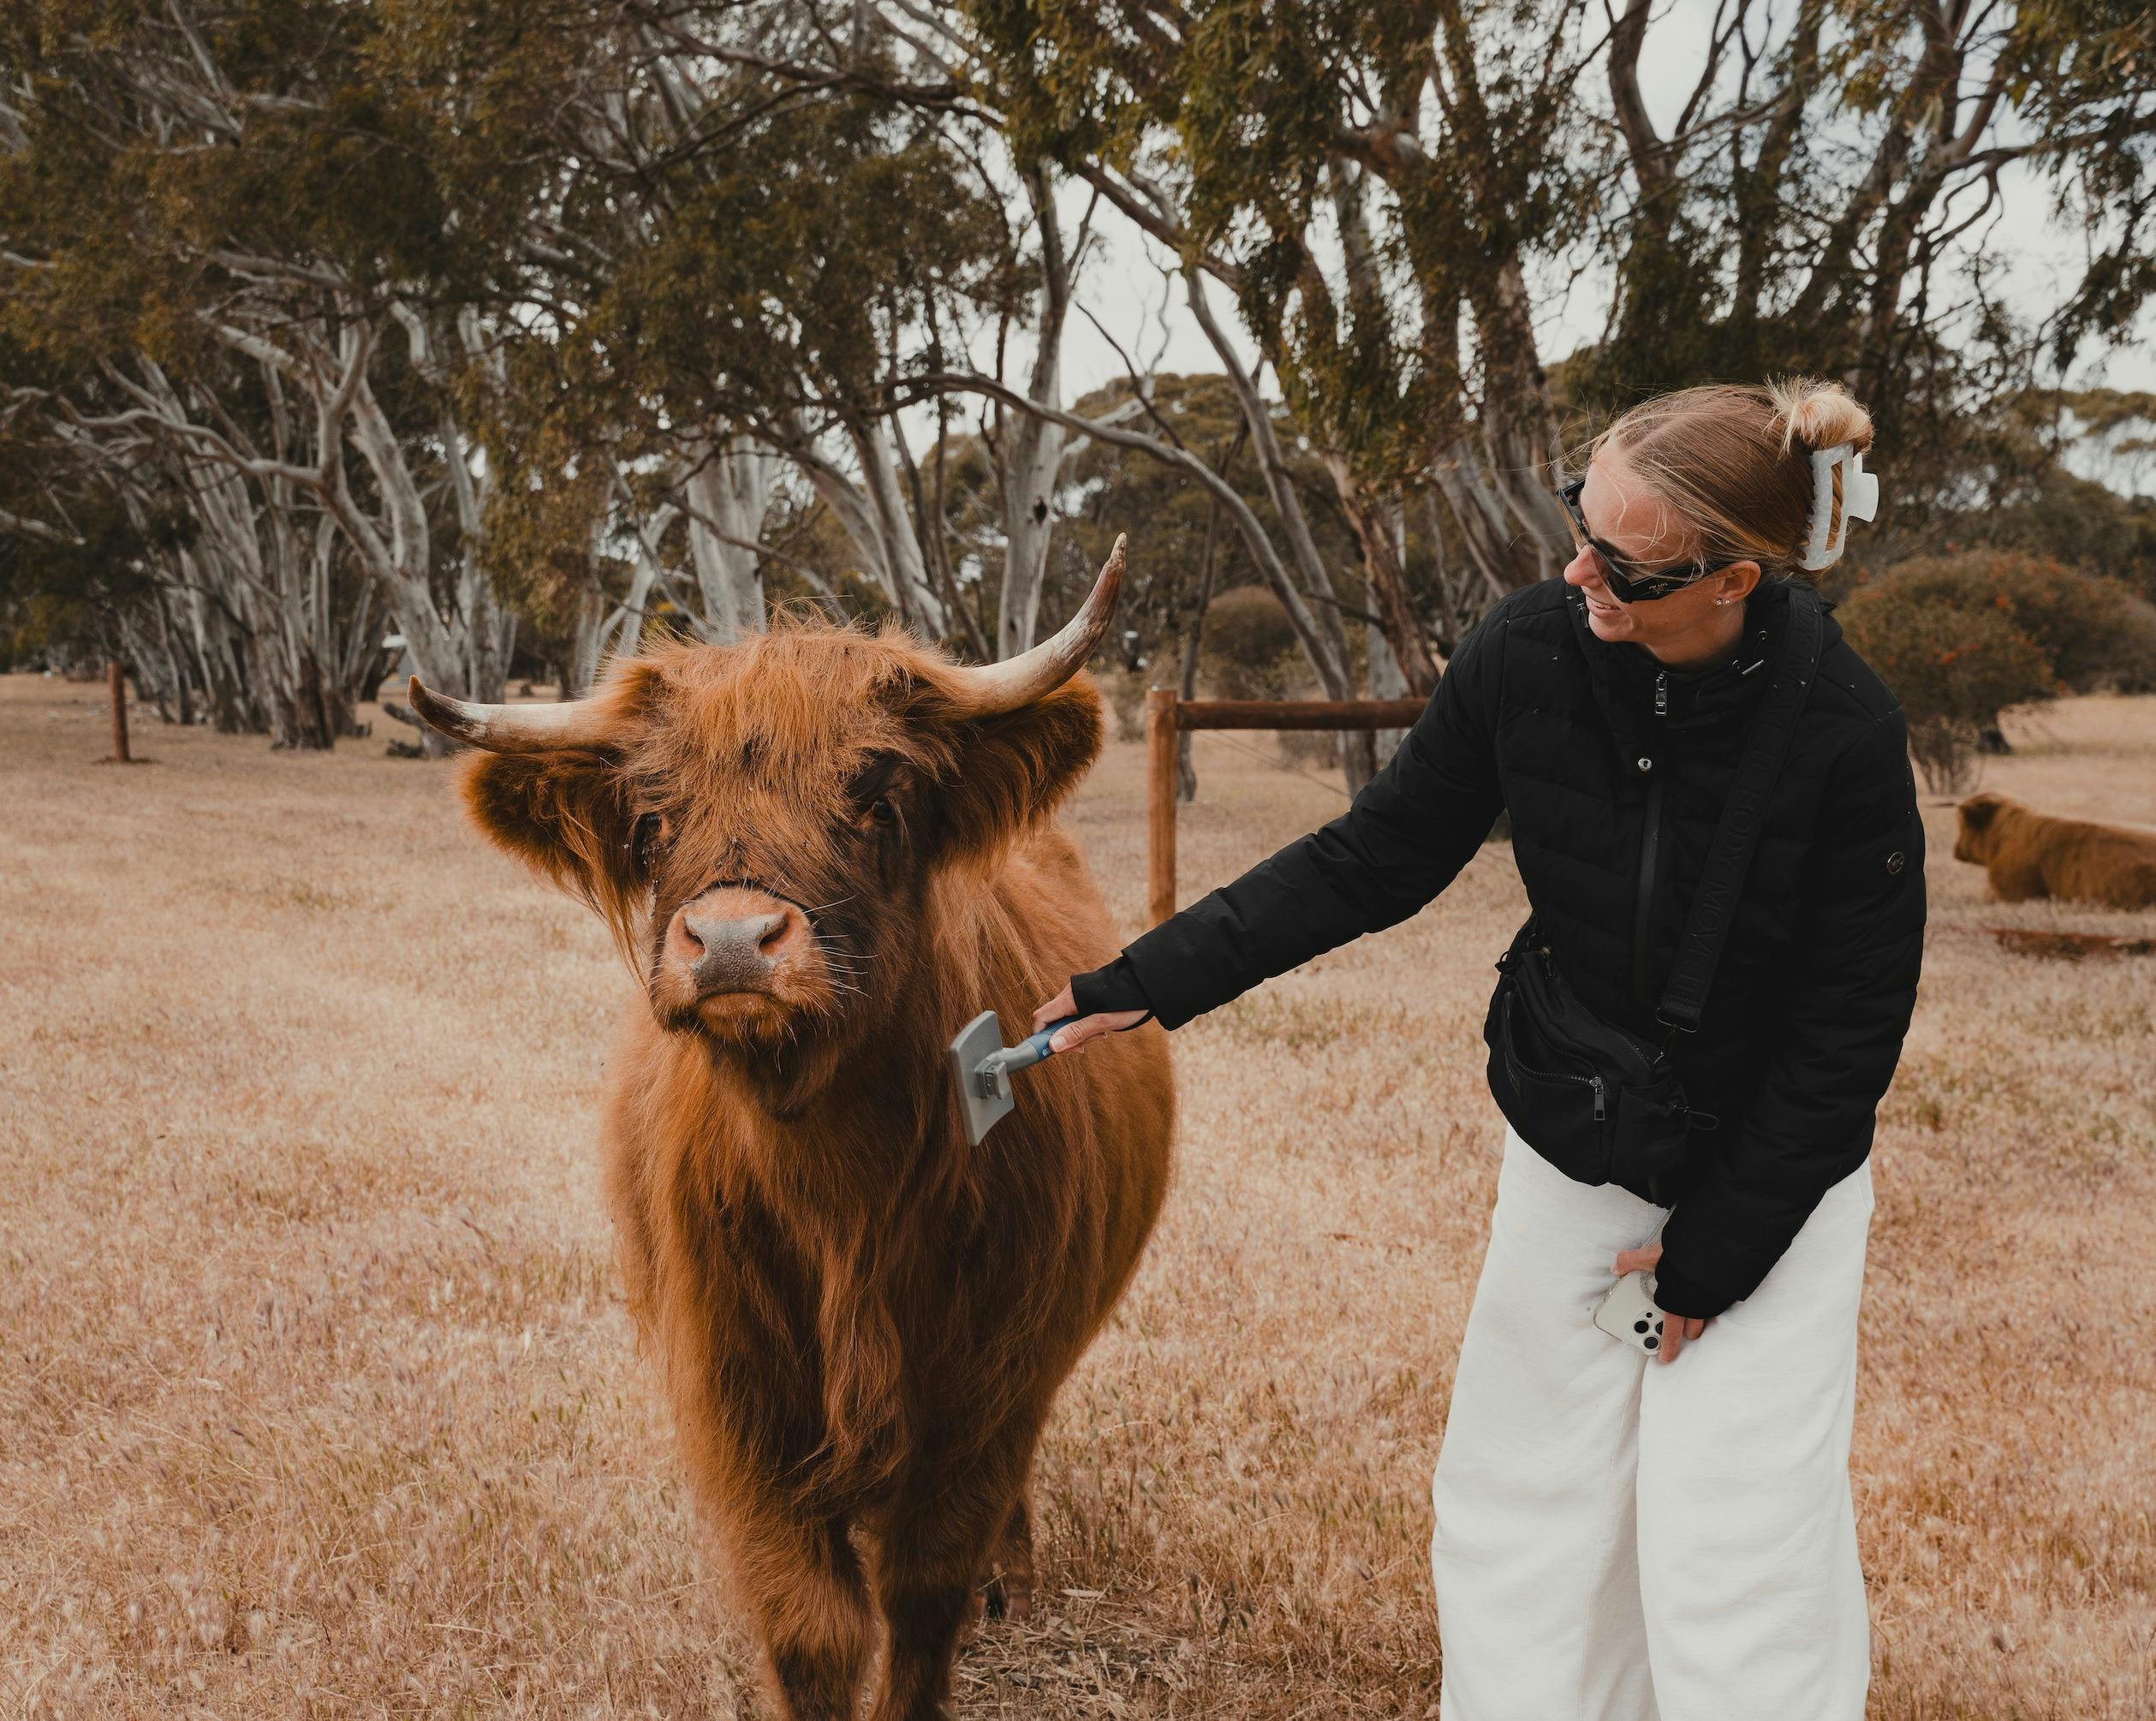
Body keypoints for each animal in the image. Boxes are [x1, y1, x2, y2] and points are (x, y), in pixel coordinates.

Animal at [410, 542, 1173, 1721]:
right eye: (649, 824)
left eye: (879, 800)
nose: (731, 943)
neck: (836, 1188)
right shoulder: (736, 1399)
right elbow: (811, 1625)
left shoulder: (985, 1389)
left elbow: (921, 1595)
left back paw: (1014, 1571)